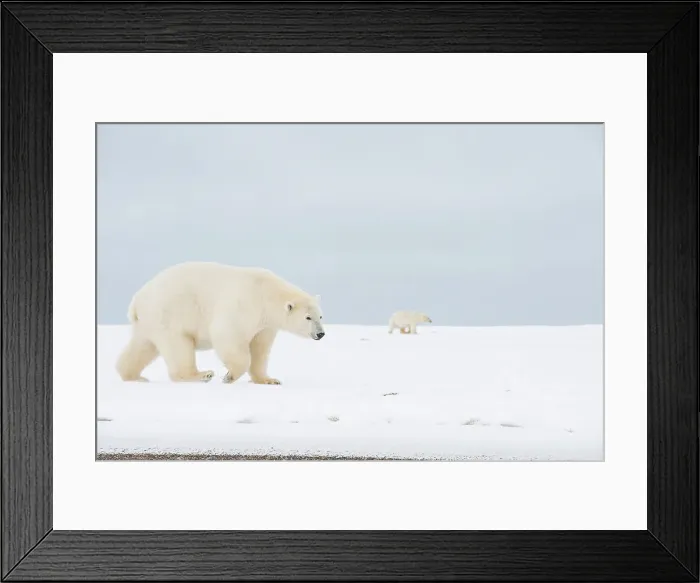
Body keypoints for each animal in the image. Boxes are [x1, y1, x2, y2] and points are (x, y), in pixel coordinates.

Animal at [115, 261, 324, 385]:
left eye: (320, 316)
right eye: (308, 318)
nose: (320, 334)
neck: (265, 293)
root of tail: (137, 300)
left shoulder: (265, 324)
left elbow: (260, 347)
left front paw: (269, 379)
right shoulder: (244, 304)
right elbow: (228, 335)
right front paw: (229, 376)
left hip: (149, 321)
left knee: (143, 346)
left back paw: (133, 376)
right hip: (168, 314)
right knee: (178, 346)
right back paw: (201, 375)